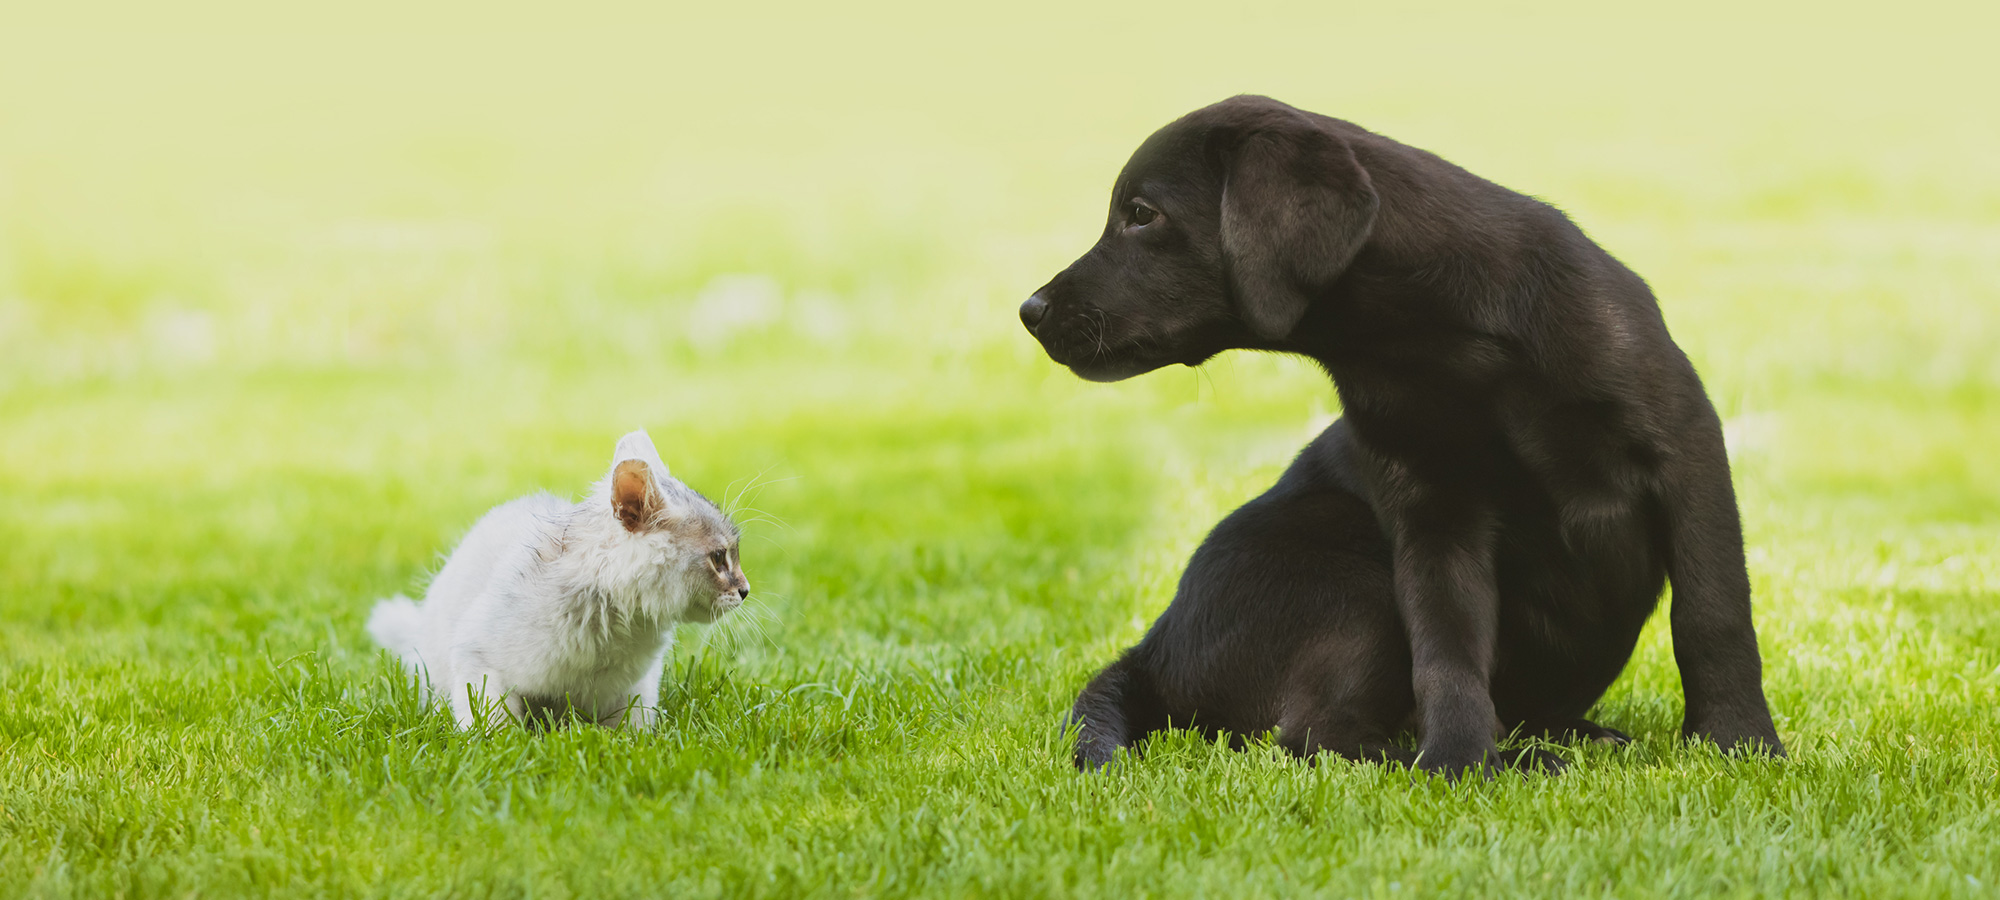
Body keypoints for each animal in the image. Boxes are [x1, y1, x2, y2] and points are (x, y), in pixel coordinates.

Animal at [370, 428, 752, 732]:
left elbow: (632, 729)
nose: (745, 590)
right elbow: (491, 726)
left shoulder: (635, 688)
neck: (615, 626)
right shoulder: (477, 658)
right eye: (719, 558)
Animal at [1032, 96, 1784, 772]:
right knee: (1311, 735)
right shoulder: (1432, 508)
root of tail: (1148, 650)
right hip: (1352, 571)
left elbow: (1713, 614)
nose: (1028, 311)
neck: (1443, 348)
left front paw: (1738, 742)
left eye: (1142, 214)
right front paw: (1458, 763)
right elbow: (1446, 648)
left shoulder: (1686, 449)